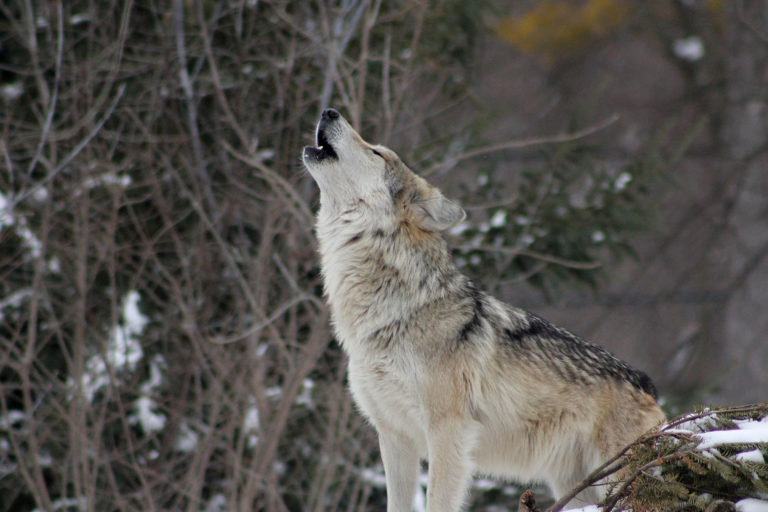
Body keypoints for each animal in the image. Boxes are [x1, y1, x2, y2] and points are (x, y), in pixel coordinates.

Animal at [304, 107, 664, 508]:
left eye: (376, 152)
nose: (329, 111)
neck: (395, 310)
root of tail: (648, 385)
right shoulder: (394, 437)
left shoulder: (448, 432)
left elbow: (437, 502)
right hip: (574, 487)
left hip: (615, 479)